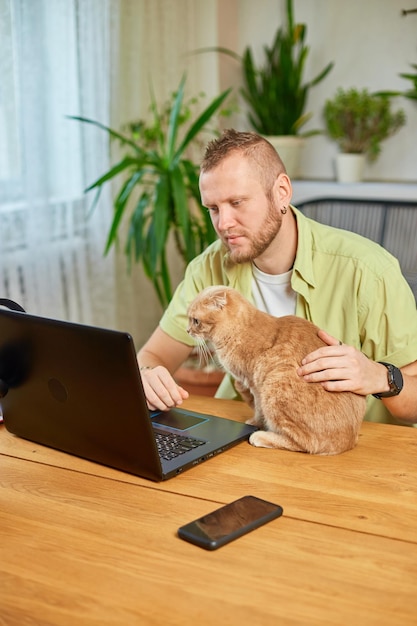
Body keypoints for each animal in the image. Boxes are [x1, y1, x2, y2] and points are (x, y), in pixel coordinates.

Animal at [187, 284, 366, 454]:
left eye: (195, 321)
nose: (187, 330)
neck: (238, 330)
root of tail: (349, 443)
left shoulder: (254, 384)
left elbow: (258, 409)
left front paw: (255, 423)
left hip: (275, 385)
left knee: (306, 443)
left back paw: (261, 436)